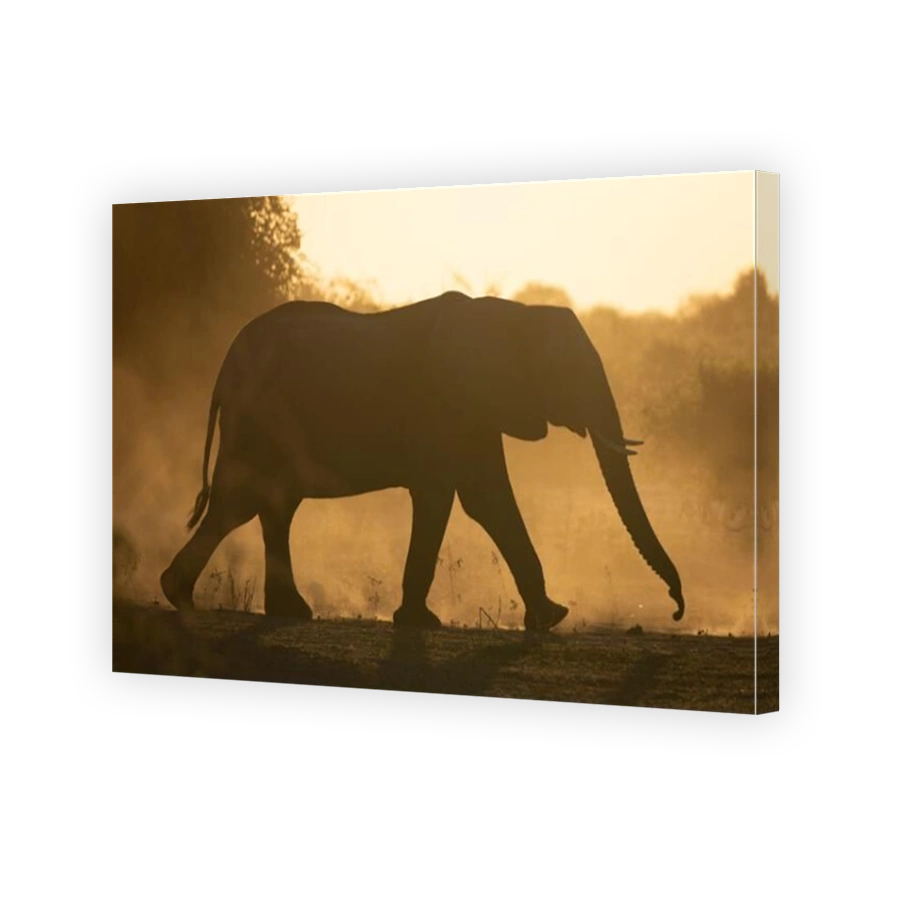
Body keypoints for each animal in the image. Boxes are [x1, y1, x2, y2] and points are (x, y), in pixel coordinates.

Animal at [160, 291, 685, 631]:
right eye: (567, 371)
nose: (677, 607)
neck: (510, 314)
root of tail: (225, 364)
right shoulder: (445, 406)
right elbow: (451, 497)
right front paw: (423, 623)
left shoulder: (475, 408)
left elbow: (487, 498)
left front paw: (550, 617)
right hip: (258, 417)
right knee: (239, 502)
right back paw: (178, 595)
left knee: (274, 506)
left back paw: (288, 612)